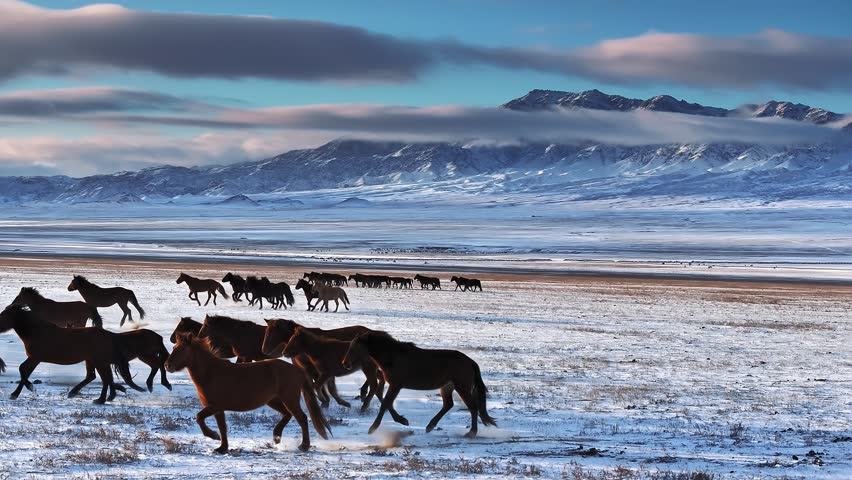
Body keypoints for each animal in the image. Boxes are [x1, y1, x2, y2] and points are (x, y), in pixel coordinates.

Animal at [0, 305, 145, 403]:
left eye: (3, 315)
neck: (37, 331)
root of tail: (109, 335)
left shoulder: (35, 358)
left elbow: (23, 370)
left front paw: (24, 390)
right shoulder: (34, 358)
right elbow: (23, 371)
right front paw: (20, 392)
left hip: (98, 361)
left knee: (104, 378)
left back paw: (100, 399)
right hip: (93, 360)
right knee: (96, 377)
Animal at [165, 333, 331, 453]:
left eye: (180, 349)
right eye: (174, 347)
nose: (167, 365)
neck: (211, 373)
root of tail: (298, 371)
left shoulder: (214, 406)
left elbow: (199, 418)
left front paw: (213, 436)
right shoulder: (218, 409)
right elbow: (222, 427)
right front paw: (222, 448)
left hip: (289, 398)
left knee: (301, 418)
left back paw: (304, 446)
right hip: (273, 400)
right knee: (287, 414)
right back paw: (276, 437)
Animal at [343, 331, 496, 437]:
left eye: (355, 346)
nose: (345, 363)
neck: (393, 356)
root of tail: (471, 362)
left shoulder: (395, 385)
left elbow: (385, 404)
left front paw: (373, 428)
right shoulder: (394, 385)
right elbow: (387, 403)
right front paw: (402, 420)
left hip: (461, 387)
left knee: (473, 407)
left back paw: (471, 432)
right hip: (447, 386)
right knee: (448, 405)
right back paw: (430, 426)